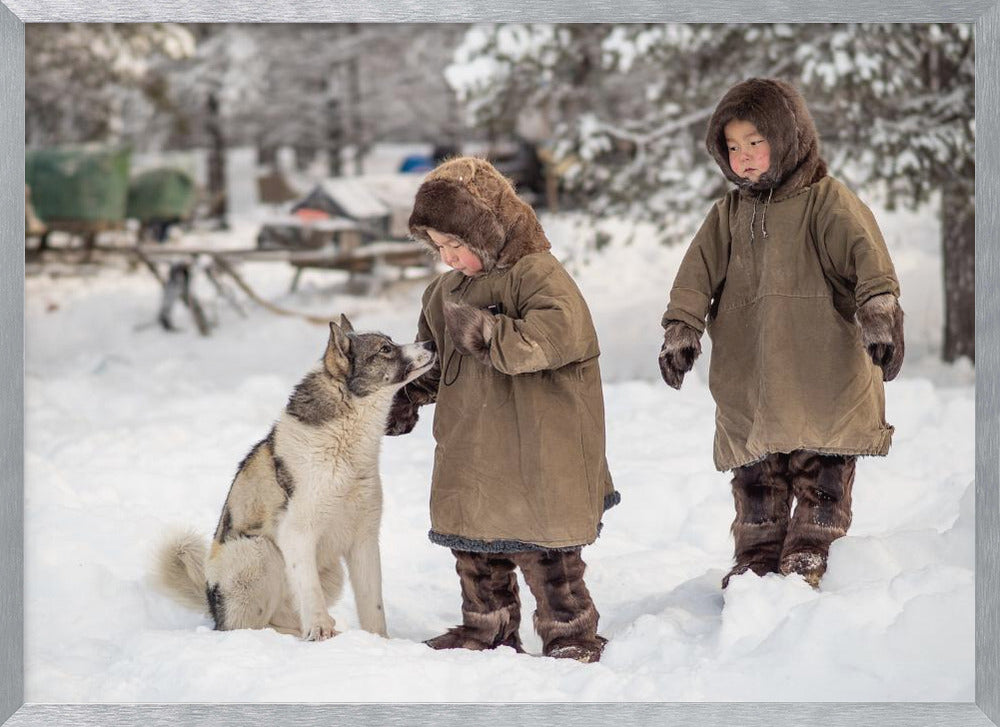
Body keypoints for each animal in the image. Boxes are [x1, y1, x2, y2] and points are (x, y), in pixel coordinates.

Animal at [155, 316, 434, 640]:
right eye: (385, 349)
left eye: (391, 342)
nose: (431, 344)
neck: (344, 444)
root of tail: (213, 609)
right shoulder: (298, 534)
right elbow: (310, 592)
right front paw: (321, 631)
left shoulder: (364, 540)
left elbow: (373, 605)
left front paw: (379, 642)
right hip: (257, 552)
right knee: (247, 625)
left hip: (330, 572)